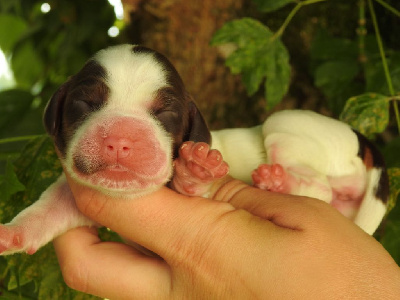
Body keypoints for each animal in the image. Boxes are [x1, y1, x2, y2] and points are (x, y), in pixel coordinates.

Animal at [0, 44, 228, 255]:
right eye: (85, 102)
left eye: (165, 112)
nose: (119, 141)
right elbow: (49, 209)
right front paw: (12, 232)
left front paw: (195, 169)